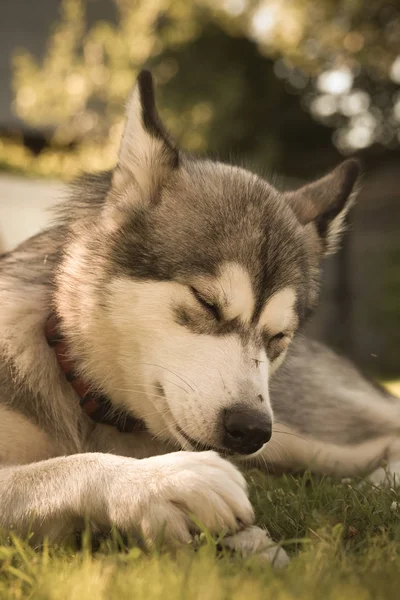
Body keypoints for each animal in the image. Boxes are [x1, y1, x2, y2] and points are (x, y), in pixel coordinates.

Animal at [0, 71, 400, 556]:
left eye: (278, 337)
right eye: (206, 302)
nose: (251, 429)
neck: (80, 390)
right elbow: (57, 468)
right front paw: (166, 480)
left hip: (306, 432)